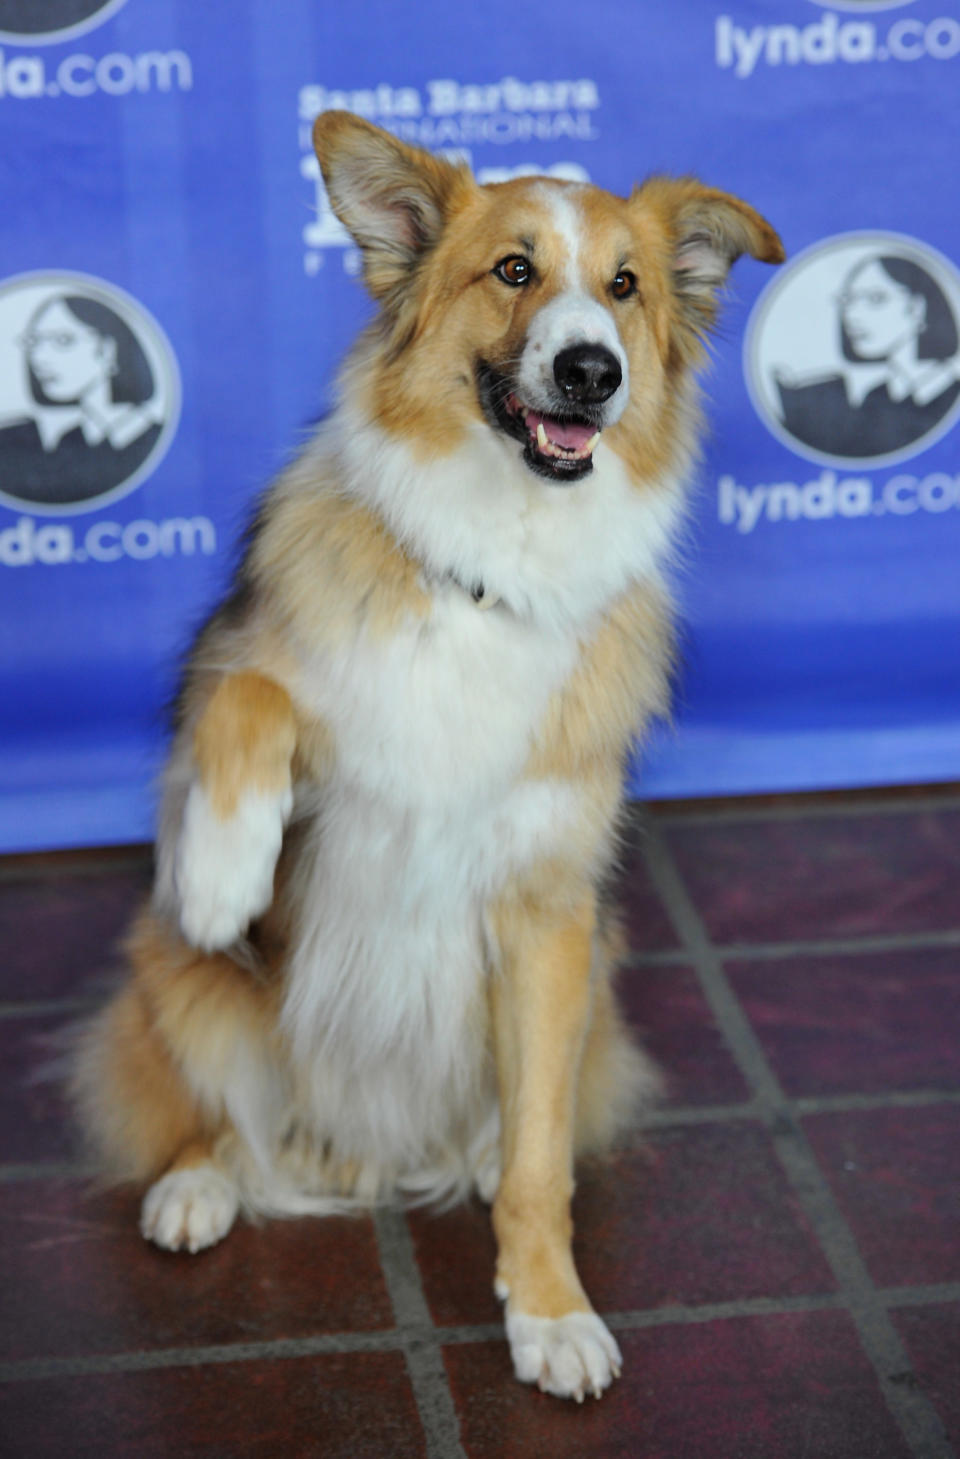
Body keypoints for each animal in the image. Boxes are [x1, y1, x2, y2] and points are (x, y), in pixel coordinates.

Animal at [71, 113, 782, 1400]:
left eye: (626, 288)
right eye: (512, 270)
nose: (592, 371)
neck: (494, 565)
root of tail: (358, 1145)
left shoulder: (549, 912)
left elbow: (544, 1159)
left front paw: (548, 1309)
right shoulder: (246, 697)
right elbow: (249, 698)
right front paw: (225, 872)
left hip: (596, 977)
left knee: (517, 1131)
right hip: (173, 980)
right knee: (206, 1108)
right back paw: (198, 1181)